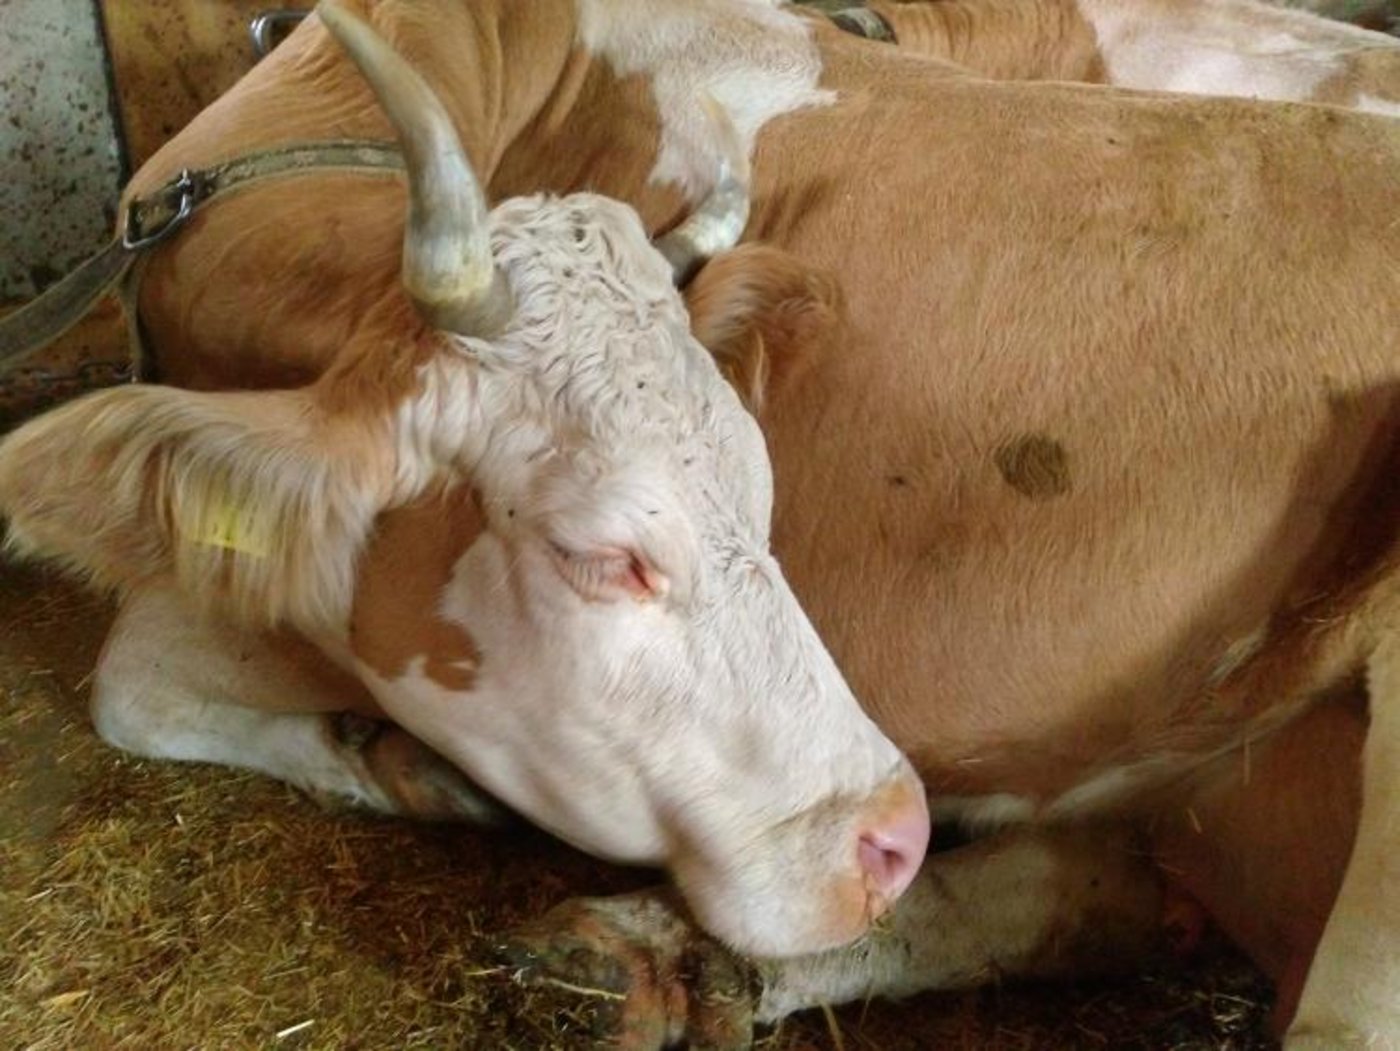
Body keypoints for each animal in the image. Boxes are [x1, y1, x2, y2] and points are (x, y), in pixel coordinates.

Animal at [0, 0, 1398, 1047]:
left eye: (764, 493)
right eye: (601, 553)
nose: (891, 833)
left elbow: (130, 675)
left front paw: (404, 762)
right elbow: (133, 688)